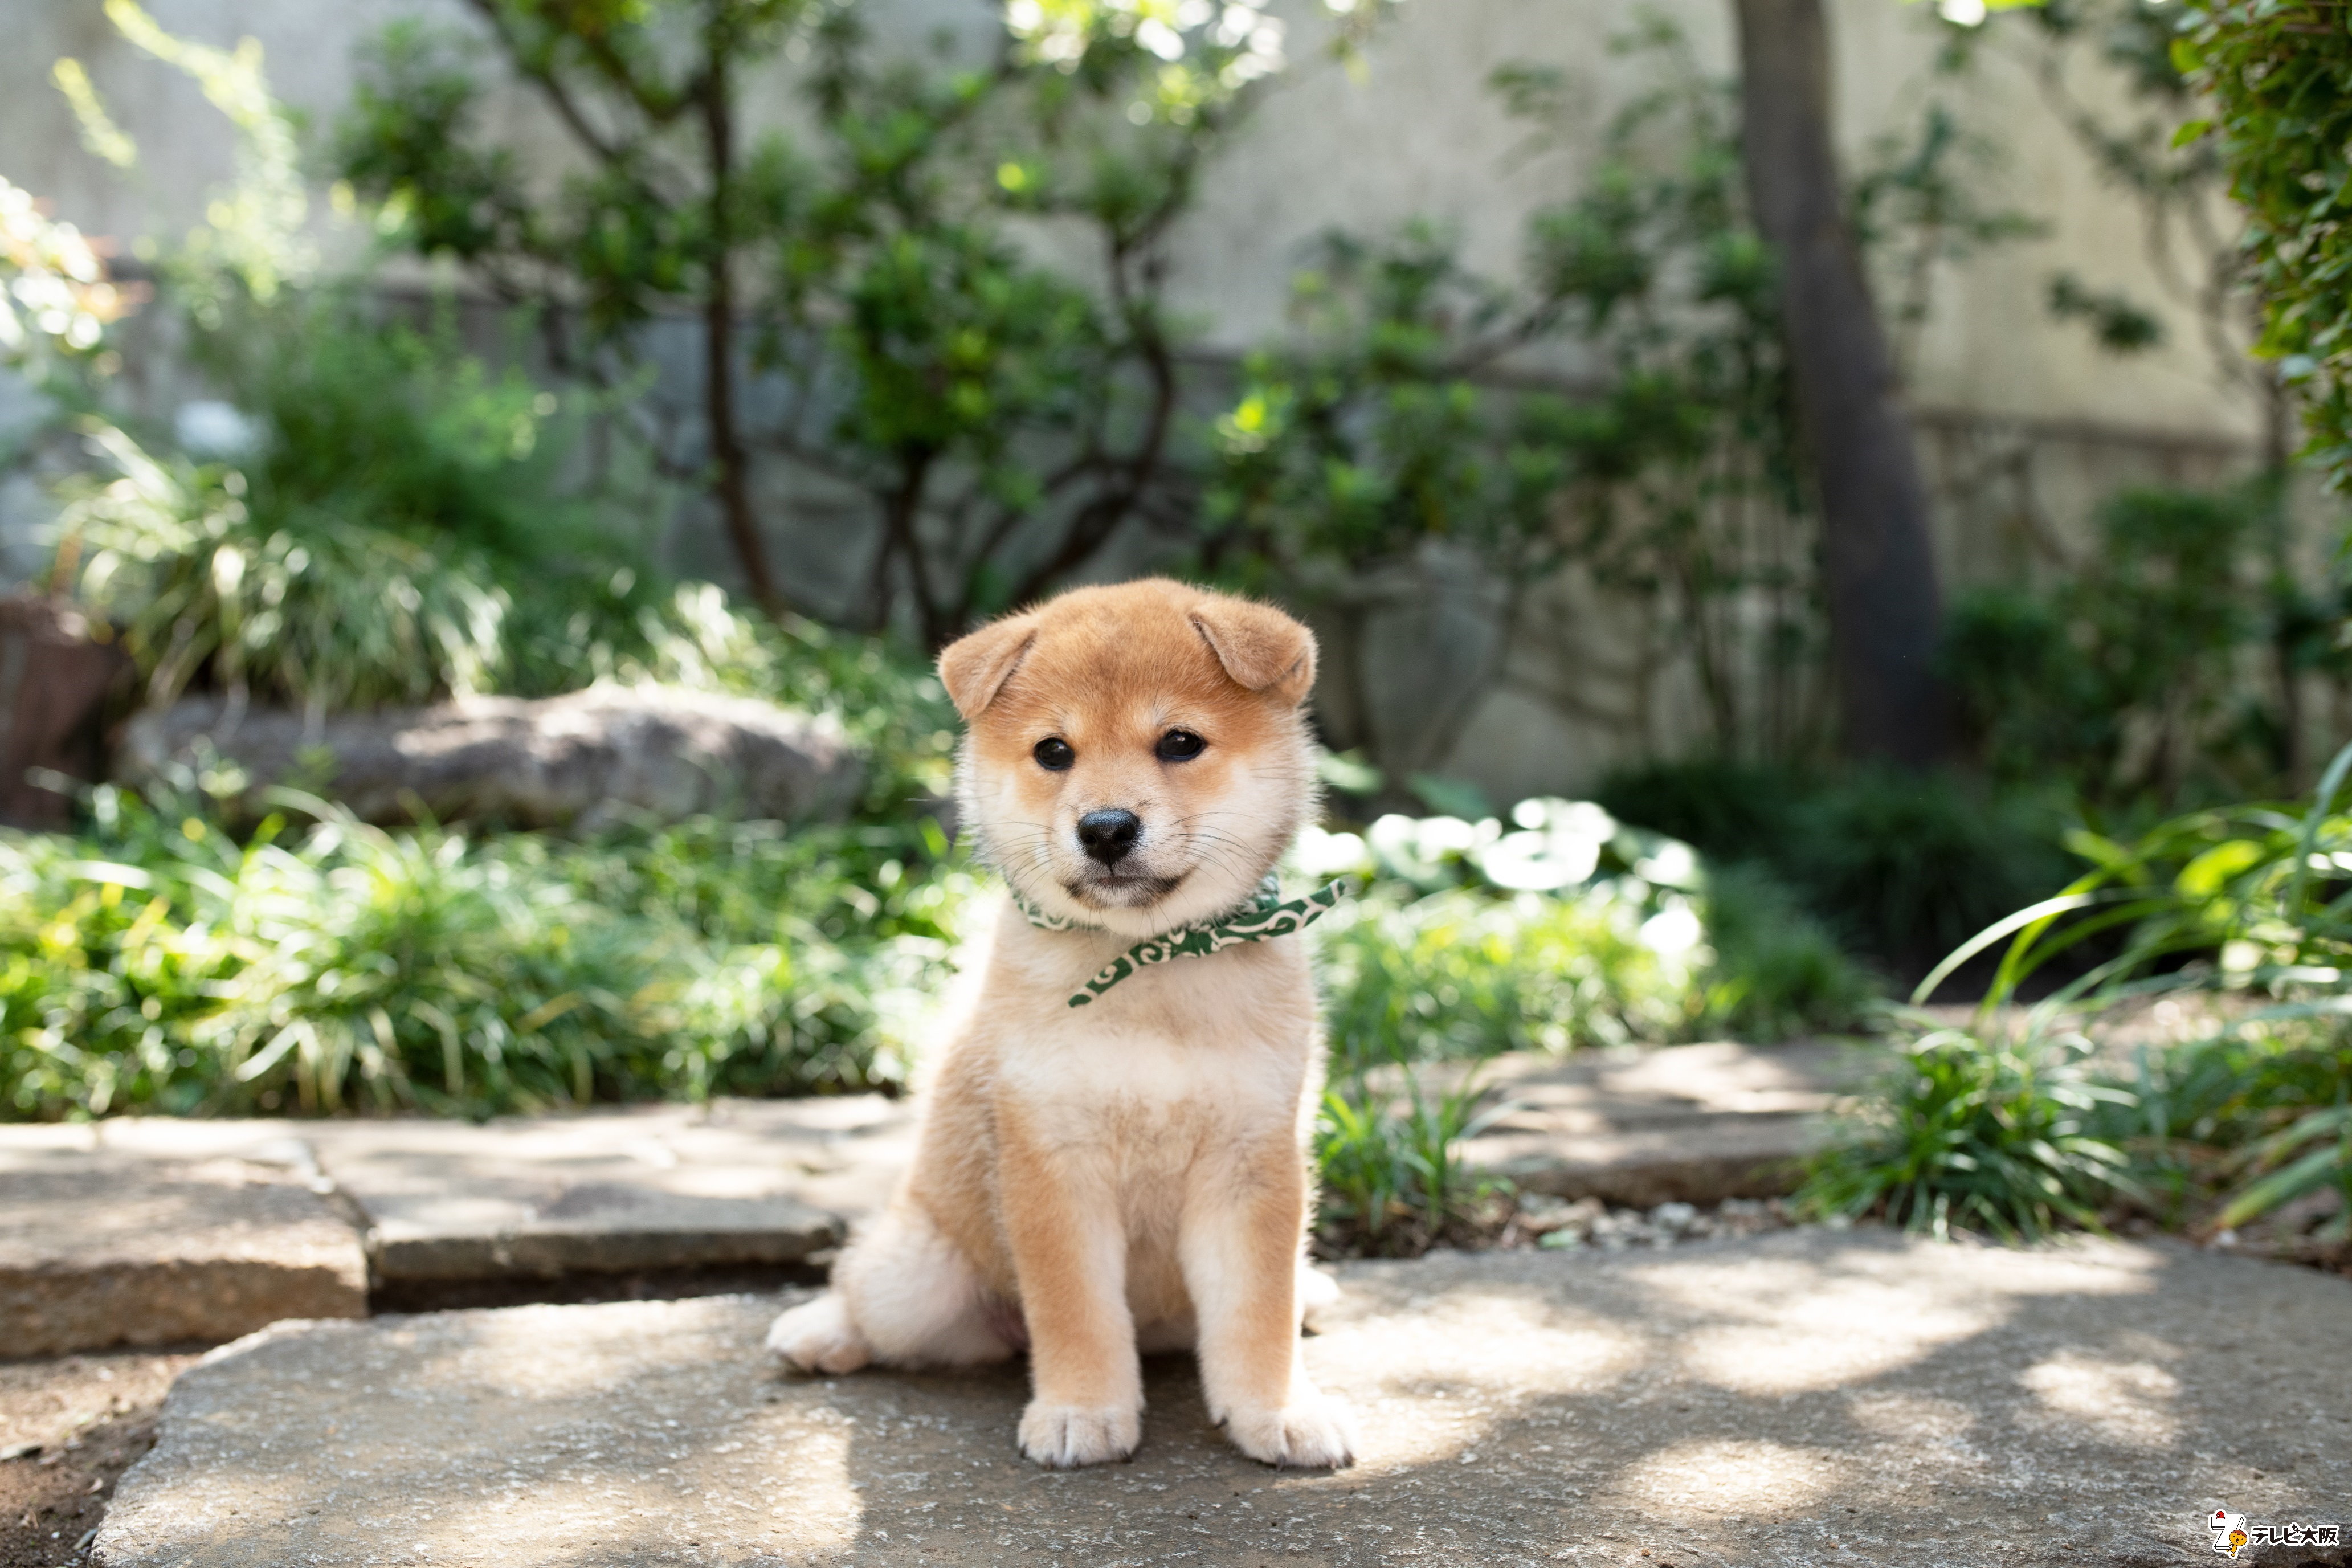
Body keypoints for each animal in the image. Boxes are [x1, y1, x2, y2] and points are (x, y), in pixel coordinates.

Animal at [766, 575, 1364, 1476]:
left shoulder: (1252, 1159)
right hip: (919, 1277)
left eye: (1180, 742)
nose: (1107, 828)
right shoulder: (1054, 1159)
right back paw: (816, 1333)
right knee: (866, 1301)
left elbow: (1258, 1310)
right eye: (1054, 752)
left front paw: (1278, 1411)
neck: (1147, 965)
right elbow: (1076, 1308)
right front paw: (1082, 1410)